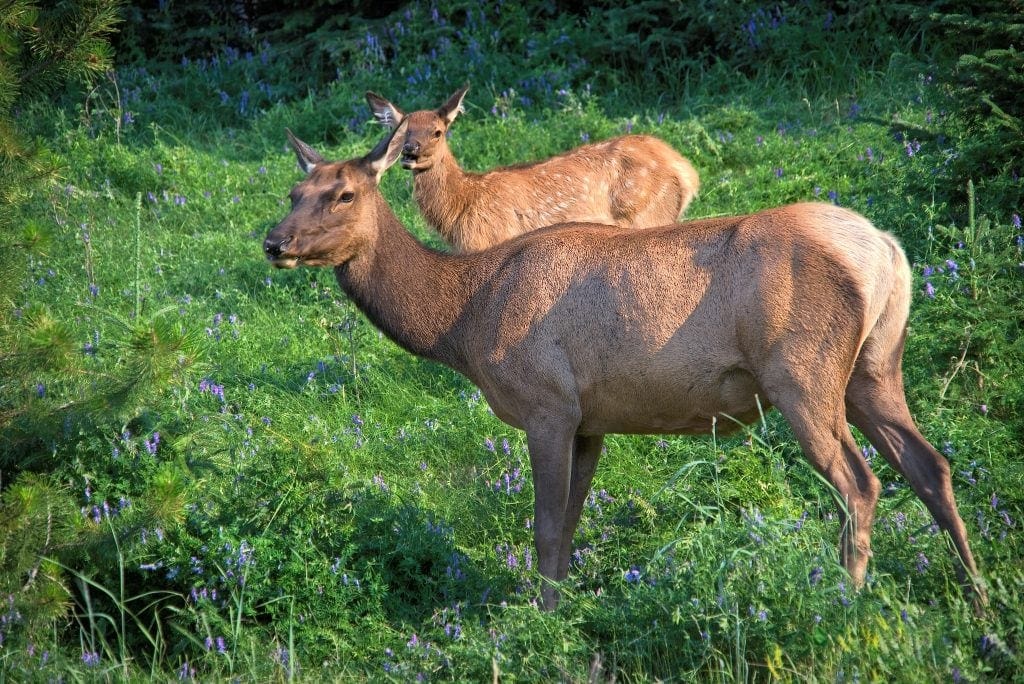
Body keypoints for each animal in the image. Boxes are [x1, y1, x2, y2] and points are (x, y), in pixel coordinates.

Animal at [262, 124, 983, 614]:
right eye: (295, 190)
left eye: (343, 193)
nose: (274, 241)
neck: (463, 321)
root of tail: (887, 250)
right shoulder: (591, 420)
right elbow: (569, 529)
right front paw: (560, 608)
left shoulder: (547, 403)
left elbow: (544, 527)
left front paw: (539, 621)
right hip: (874, 367)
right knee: (931, 465)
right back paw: (976, 595)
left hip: (802, 374)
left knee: (860, 483)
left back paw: (845, 600)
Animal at [364, 87, 700, 252]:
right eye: (400, 131)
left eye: (437, 132)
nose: (410, 152)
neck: (462, 205)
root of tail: (686, 171)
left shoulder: (490, 241)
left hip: (648, 214)